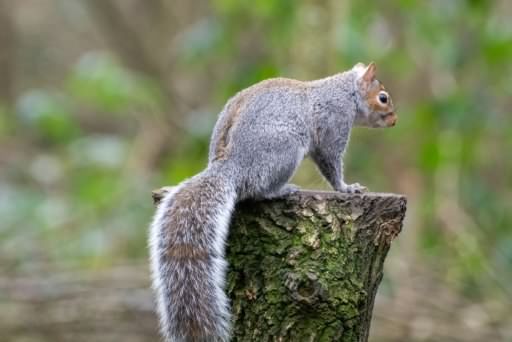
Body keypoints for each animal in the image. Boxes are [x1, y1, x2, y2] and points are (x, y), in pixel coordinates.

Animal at [148, 62, 396, 342]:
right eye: (383, 98)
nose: (394, 120)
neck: (344, 91)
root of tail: (231, 168)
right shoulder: (333, 125)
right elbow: (330, 162)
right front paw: (347, 188)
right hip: (285, 150)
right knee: (258, 190)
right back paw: (283, 190)